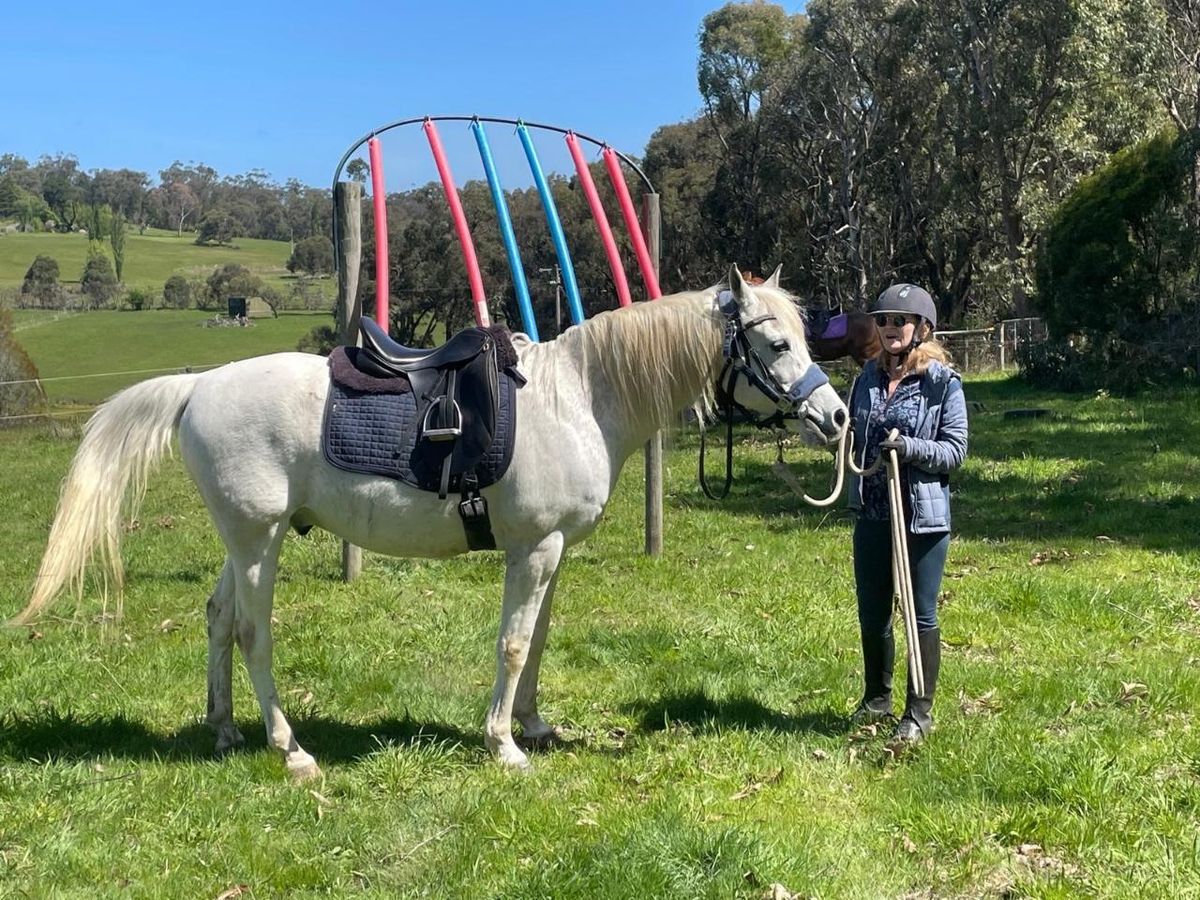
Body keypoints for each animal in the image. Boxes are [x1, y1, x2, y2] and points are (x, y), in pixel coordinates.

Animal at [14, 267, 849, 782]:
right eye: (776, 343)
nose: (838, 417)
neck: (580, 395)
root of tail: (198, 388)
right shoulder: (533, 550)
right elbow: (513, 644)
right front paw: (503, 745)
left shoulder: (550, 552)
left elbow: (538, 638)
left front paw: (534, 725)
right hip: (259, 541)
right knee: (252, 632)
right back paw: (290, 750)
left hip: (246, 537)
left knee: (218, 617)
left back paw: (223, 730)